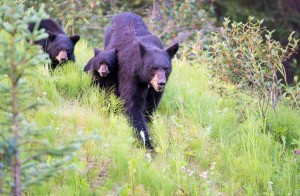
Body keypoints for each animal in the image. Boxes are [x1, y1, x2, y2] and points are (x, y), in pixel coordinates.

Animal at [105, 12, 179, 149]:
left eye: (166, 68)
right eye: (153, 67)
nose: (161, 83)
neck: (145, 78)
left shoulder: (156, 90)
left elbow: (152, 102)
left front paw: (149, 121)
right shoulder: (131, 75)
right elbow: (133, 103)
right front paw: (147, 143)